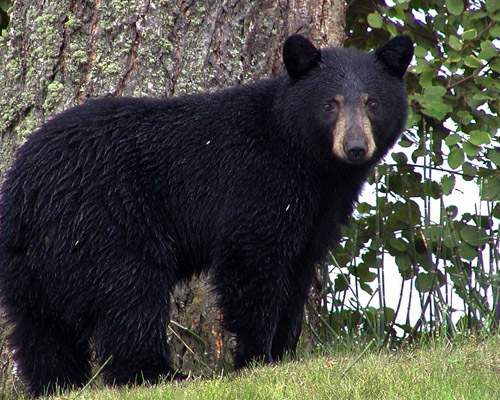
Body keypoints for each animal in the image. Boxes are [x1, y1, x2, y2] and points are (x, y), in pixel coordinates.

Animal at [0, 35, 412, 396]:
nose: (355, 147)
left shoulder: (317, 214)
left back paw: (58, 384)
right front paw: (256, 358)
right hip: (103, 223)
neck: (309, 161)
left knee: (40, 329)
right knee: (128, 295)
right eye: (330, 104)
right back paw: (157, 374)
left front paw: (284, 354)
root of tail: (25, 192)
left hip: (28, 262)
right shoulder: (258, 183)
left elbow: (297, 273)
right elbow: (252, 263)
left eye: (373, 103)